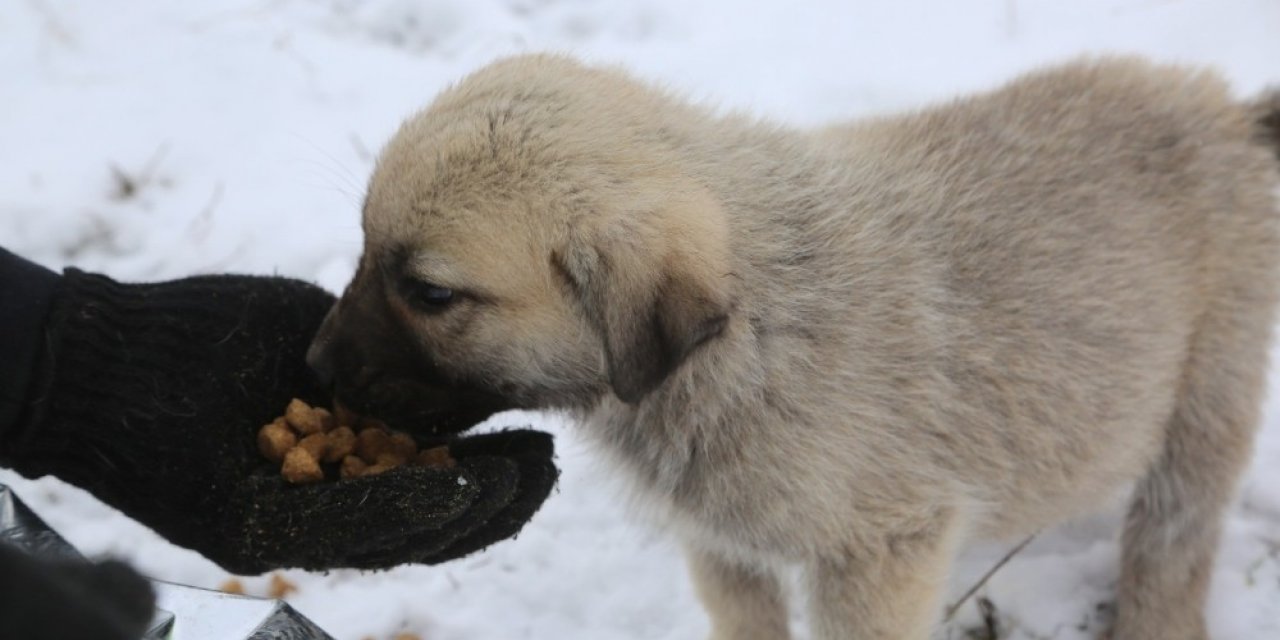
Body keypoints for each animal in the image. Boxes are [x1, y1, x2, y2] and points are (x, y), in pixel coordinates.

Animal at [307, 55, 1280, 640]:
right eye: (361, 245)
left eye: (432, 294)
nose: (313, 367)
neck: (757, 325)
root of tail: (1230, 118)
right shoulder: (725, 551)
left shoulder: (882, 552)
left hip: (1206, 406)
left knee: (1170, 549)